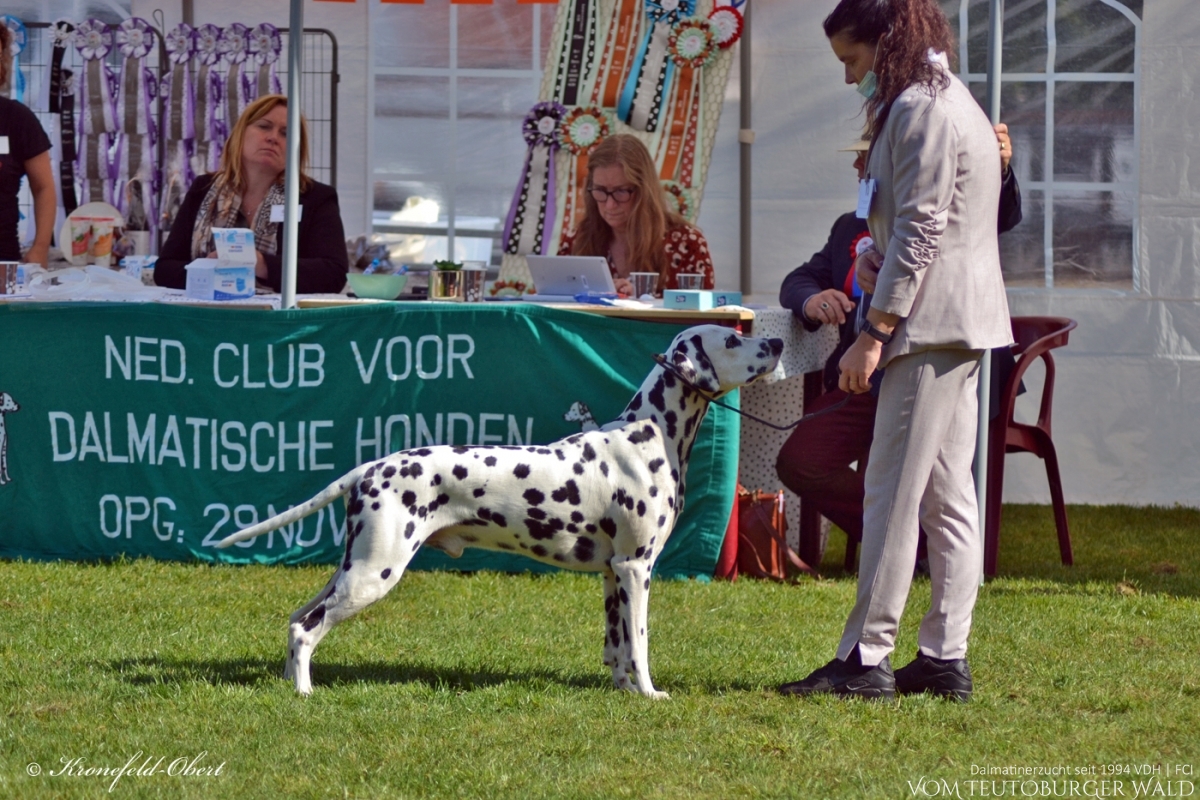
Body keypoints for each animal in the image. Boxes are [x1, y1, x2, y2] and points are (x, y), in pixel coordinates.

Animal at [217, 326, 787, 700]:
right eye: (732, 339)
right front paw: (650, 695)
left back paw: (290, 682)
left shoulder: (612, 574)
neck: (648, 433)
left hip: (353, 567)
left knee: (296, 619)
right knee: (306, 629)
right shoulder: (636, 569)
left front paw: (623, 690)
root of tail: (367, 469)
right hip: (373, 574)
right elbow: (640, 643)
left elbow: (616, 644)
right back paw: (305, 693)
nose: (779, 343)